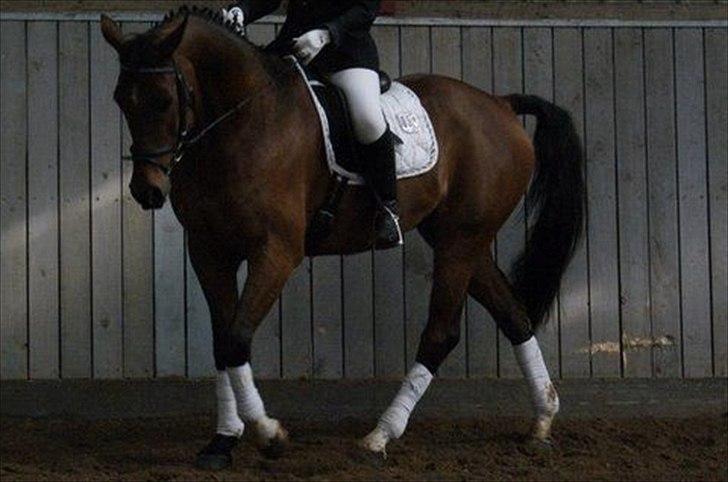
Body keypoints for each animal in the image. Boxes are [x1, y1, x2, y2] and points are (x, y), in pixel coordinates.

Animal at [100, 7, 584, 469]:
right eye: (121, 100)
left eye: (164, 100)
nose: (147, 191)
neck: (241, 123)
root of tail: (500, 104)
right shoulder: (208, 250)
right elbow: (223, 343)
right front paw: (222, 441)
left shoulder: (276, 251)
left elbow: (237, 337)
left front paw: (269, 435)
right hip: (463, 239)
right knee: (514, 316)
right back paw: (541, 424)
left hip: (460, 242)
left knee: (441, 333)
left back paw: (378, 437)